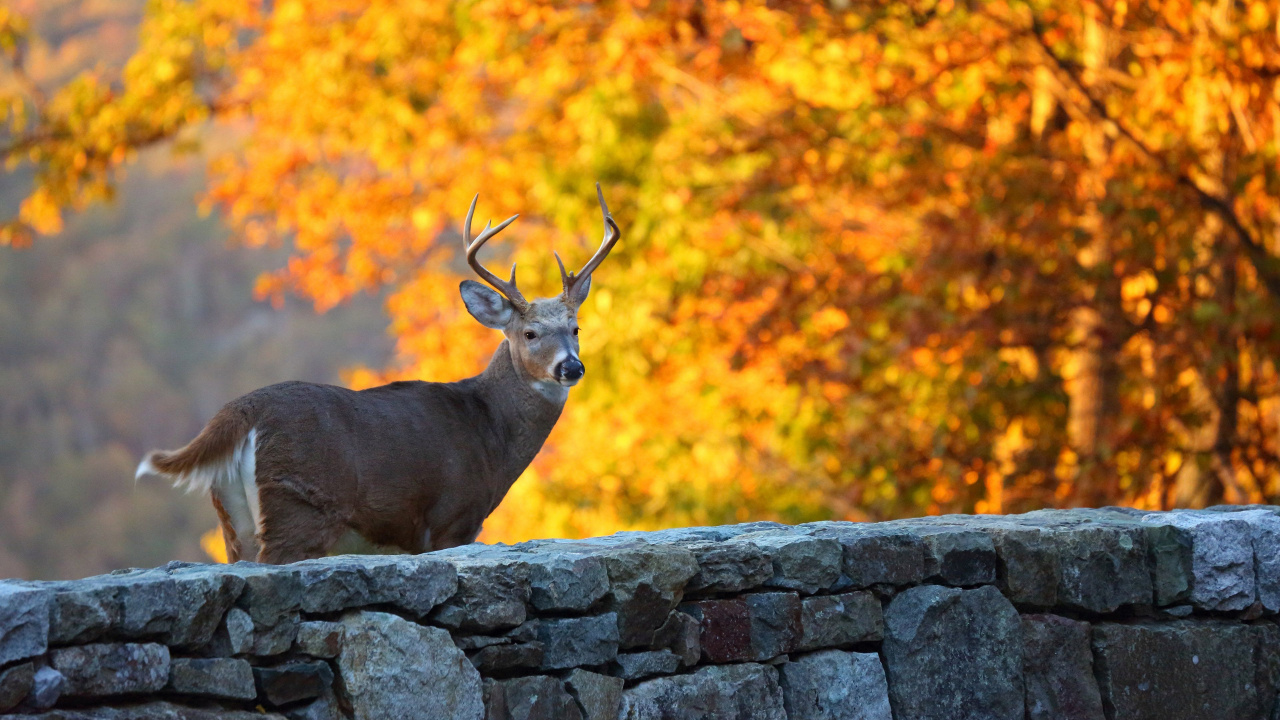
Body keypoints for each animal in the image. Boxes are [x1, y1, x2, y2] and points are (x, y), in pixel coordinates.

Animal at [136, 186, 620, 564]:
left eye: (576, 328)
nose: (571, 366)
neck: (489, 433)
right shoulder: (451, 518)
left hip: (232, 520)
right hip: (296, 504)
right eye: (529, 332)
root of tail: (239, 412)